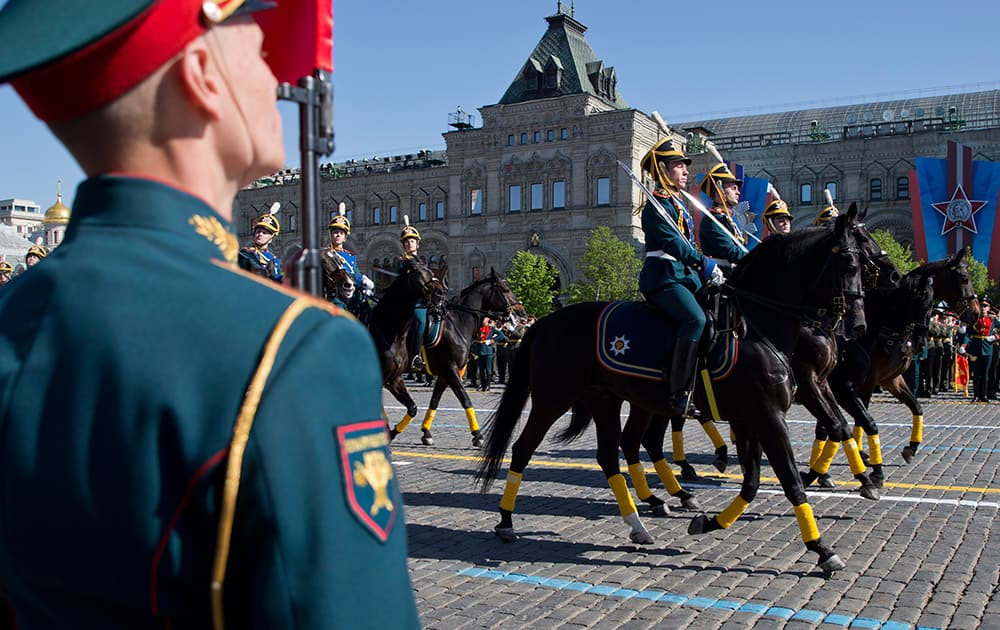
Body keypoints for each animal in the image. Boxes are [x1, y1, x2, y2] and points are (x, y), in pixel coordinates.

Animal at [386, 272, 524, 450]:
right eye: (506, 288)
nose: (521, 312)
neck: (459, 323)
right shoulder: (450, 370)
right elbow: (465, 399)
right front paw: (477, 435)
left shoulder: (445, 374)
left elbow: (435, 401)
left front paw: (426, 432)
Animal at [476, 210, 868, 576]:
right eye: (851, 263)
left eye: (866, 262)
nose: (857, 325)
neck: (756, 325)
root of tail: (544, 321)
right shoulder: (770, 416)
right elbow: (789, 480)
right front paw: (822, 548)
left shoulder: (753, 416)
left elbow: (753, 482)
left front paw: (710, 521)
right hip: (553, 398)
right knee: (523, 449)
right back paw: (506, 521)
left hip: (607, 400)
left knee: (613, 454)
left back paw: (640, 522)